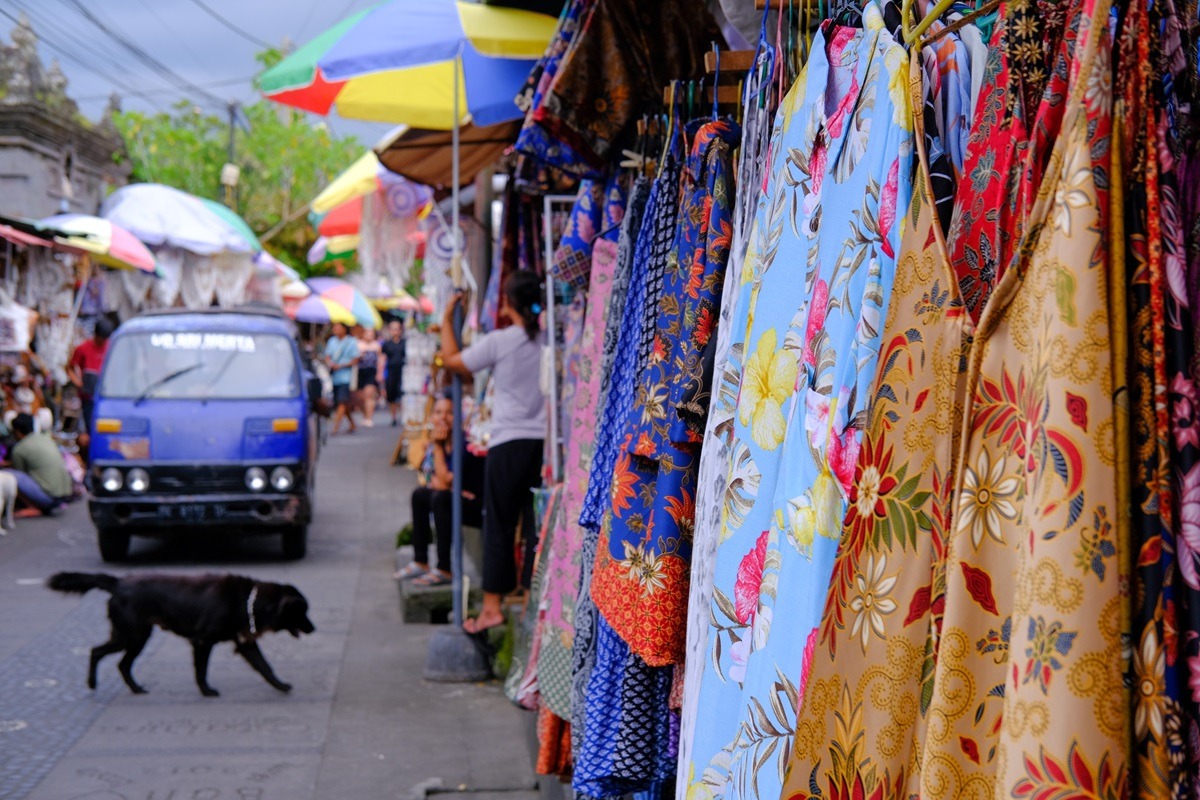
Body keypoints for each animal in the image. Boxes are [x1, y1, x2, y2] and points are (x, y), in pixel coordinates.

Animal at [49, 573, 316, 695]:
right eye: (302, 612)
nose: (314, 628)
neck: (247, 601)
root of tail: (118, 582)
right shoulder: (202, 641)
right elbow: (201, 669)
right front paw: (206, 691)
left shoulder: (245, 644)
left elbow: (265, 666)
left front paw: (280, 685)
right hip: (130, 635)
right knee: (97, 651)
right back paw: (92, 683)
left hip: (138, 637)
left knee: (122, 664)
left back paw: (136, 689)